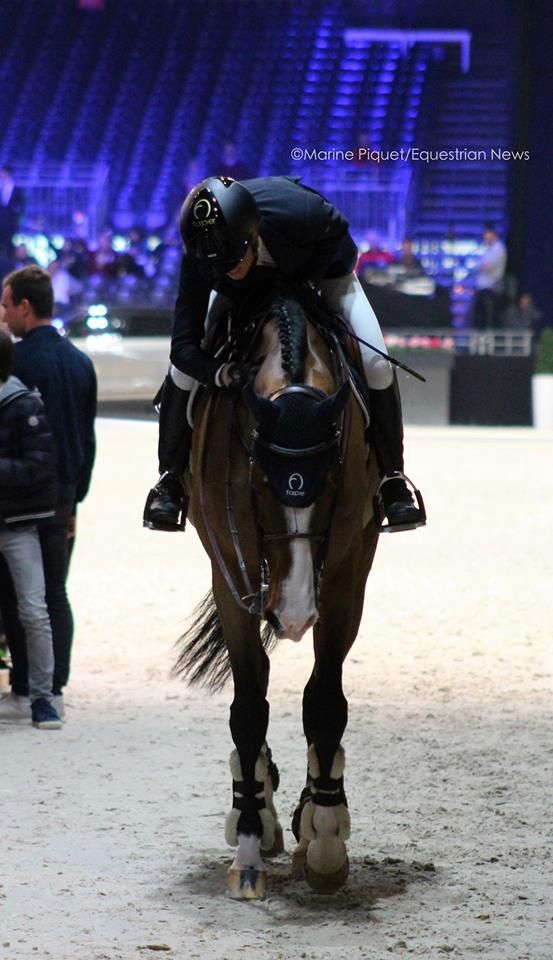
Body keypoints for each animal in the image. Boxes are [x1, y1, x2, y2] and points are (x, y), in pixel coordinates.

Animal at [175, 284, 382, 900]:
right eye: (262, 480)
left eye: (332, 478)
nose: (292, 615)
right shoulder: (231, 570)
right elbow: (248, 706)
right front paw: (248, 847)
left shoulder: (346, 573)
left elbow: (325, 701)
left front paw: (325, 839)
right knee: (257, 689)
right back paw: (259, 805)